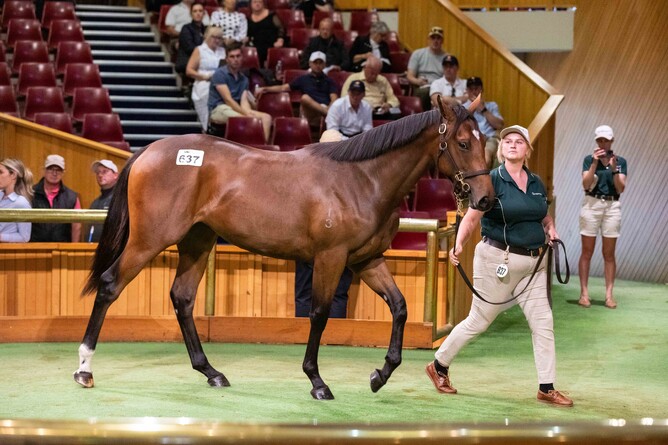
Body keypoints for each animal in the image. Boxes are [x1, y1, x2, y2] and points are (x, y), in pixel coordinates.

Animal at [73, 96, 494, 400]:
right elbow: (319, 314)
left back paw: (211, 372)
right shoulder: (330, 258)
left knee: (182, 298)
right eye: (462, 143)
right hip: (149, 240)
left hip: (197, 241)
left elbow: (400, 307)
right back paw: (84, 369)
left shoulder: (366, 260)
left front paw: (381, 374)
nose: (486, 199)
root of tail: (149, 151)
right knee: (110, 285)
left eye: (485, 143)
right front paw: (317, 381)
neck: (362, 179)